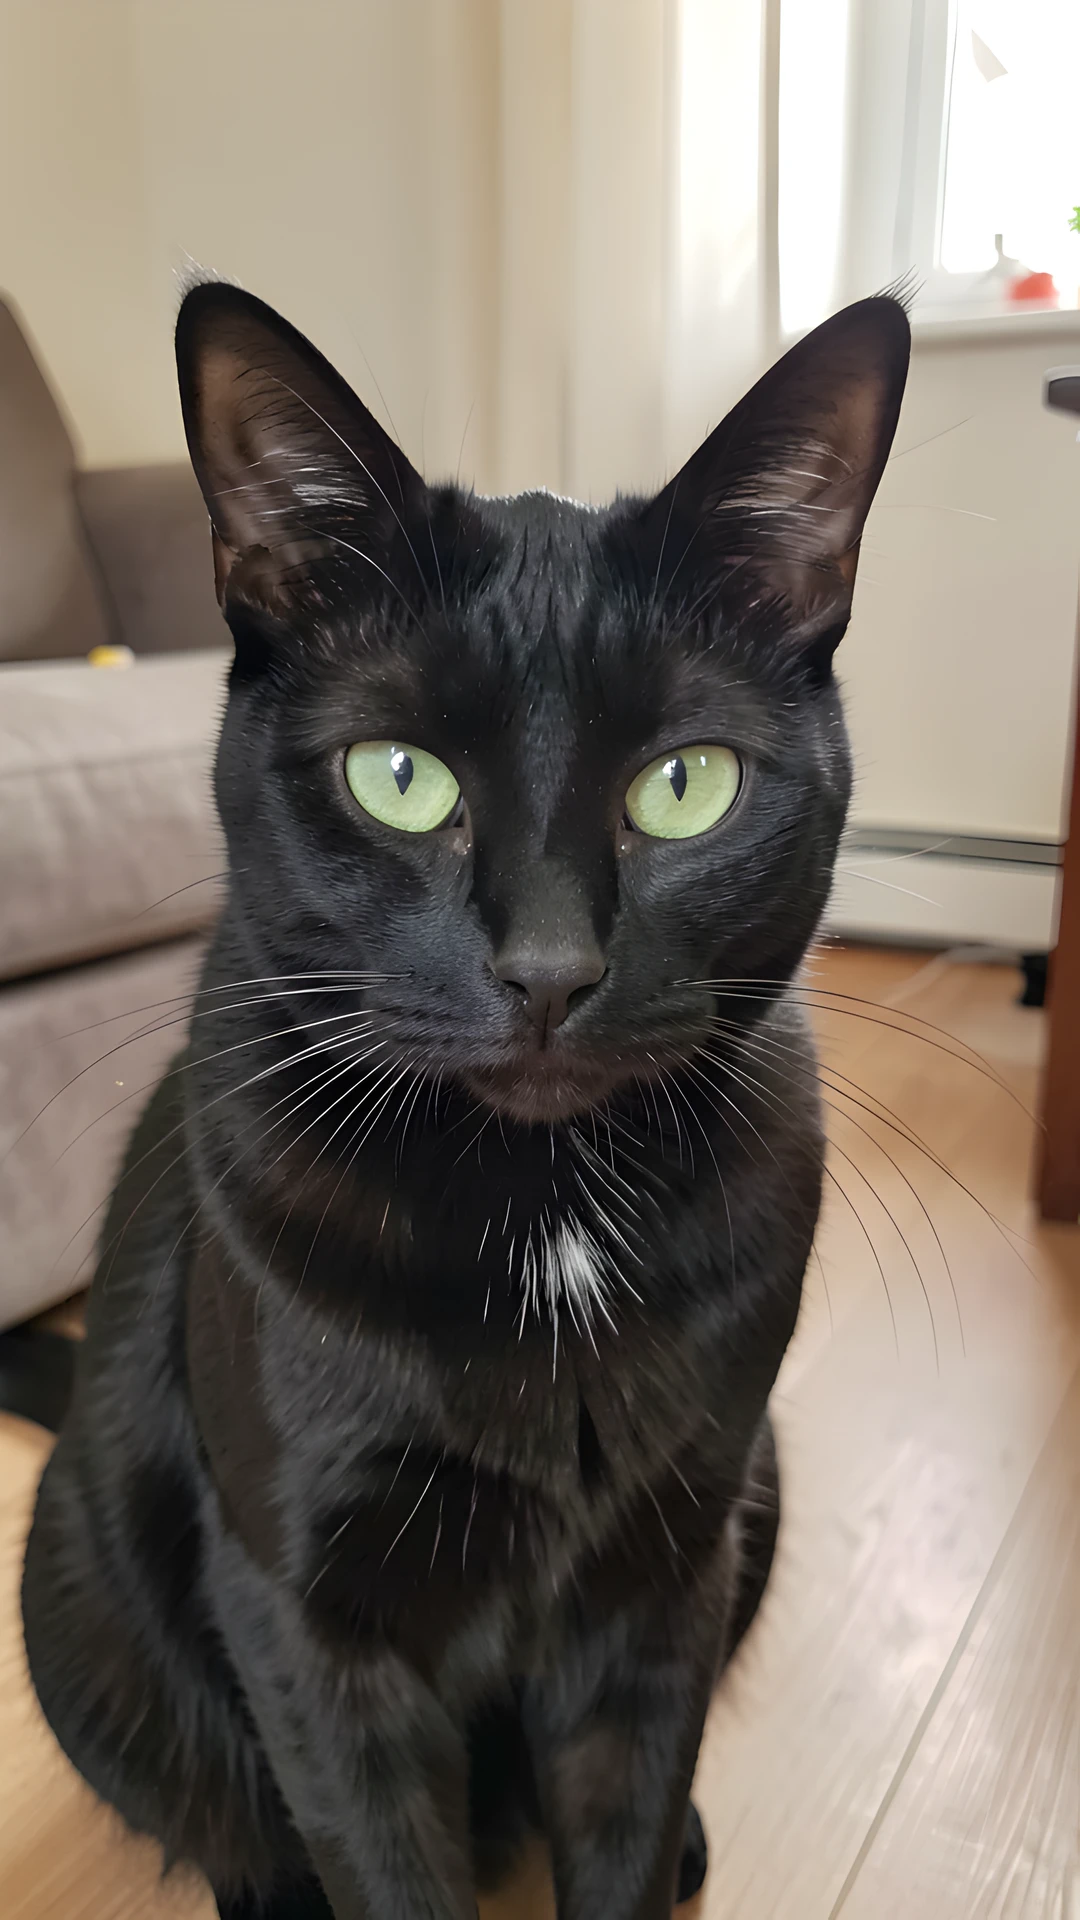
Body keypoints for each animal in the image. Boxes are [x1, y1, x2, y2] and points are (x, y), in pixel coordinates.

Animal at [22, 282, 909, 1920]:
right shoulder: (307, 1620)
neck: (542, 1218)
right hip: (80, 1599)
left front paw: (654, 1854)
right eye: (399, 779)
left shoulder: (664, 1573)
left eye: (687, 785)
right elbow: (379, 1863)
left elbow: (623, 1831)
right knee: (222, 1809)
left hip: (760, 1484)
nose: (549, 968)